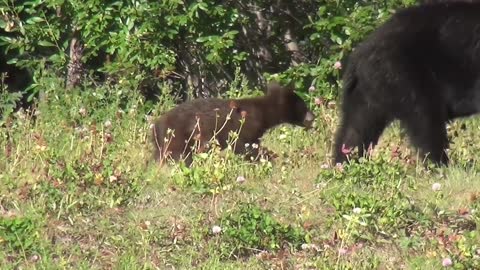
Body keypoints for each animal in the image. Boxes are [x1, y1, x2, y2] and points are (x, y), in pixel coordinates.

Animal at [151, 82, 316, 166]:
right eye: (303, 105)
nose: (313, 117)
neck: (263, 113)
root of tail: (156, 125)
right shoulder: (244, 127)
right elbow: (244, 146)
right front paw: (270, 158)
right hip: (178, 135)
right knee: (179, 154)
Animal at [334, 2, 480, 166]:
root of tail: (359, 56)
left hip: (367, 92)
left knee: (355, 129)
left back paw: (342, 164)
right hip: (407, 76)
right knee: (426, 121)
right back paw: (441, 164)